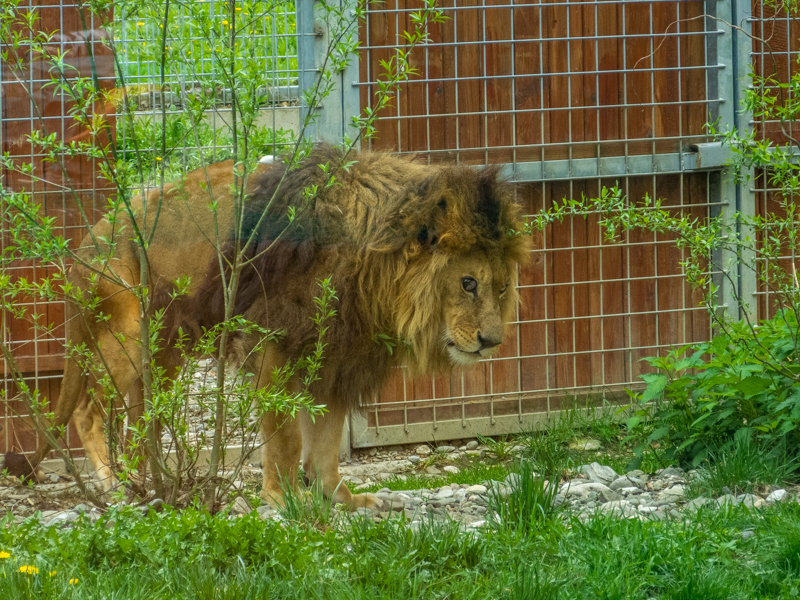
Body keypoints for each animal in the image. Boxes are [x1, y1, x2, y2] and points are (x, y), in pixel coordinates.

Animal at [2, 145, 531, 511]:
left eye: (502, 287)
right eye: (467, 283)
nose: (492, 341)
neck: (372, 269)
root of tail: (84, 243)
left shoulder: (336, 357)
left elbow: (325, 443)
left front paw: (340, 498)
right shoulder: (276, 341)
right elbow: (286, 435)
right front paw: (283, 498)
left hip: (165, 350)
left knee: (134, 416)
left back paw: (142, 479)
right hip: (131, 337)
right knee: (91, 412)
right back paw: (116, 482)